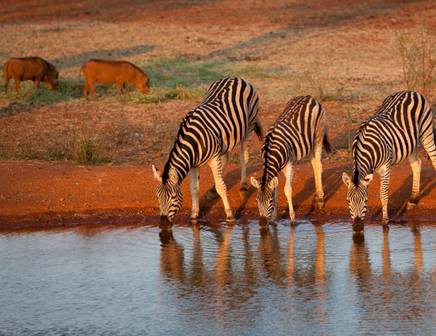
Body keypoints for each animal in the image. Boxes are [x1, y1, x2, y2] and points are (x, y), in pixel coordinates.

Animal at [152, 77, 262, 227]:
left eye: (173, 197)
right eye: (158, 196)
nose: (163, 224)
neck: (193, 142)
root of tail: (236, 78)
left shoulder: (213, 158)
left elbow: (222, 187)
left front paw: (229, 215)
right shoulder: (193, 164)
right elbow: (194, 188)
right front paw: (194, 215)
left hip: (249, 126)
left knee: (243, 156)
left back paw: (243, 186)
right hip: (226, 138)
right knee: (226, 158)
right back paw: (212, 189)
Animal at [249, 95, 330, 226]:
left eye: (269, 201)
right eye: (256, 201)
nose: (262, 223)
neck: (270, 151)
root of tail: (309, 97)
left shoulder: (289, 164)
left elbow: (287, 190)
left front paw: (292, 218)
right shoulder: (276, 169)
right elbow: (276, 191)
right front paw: (273, 219)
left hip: (319, 134)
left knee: (318, 164)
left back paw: (321, 198)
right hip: (309, 142)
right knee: (313, 162)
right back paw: (317, 195)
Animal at [344, 89, 436, 232]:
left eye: (365, 200)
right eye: (348, 201)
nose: (358, 227)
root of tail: (410, 91)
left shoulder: (385, 168)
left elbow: (383, 194)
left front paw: (385, 222)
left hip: (427, 132)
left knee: (434, 157)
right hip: (410, 142)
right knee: (416, 164)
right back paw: (413, 200)